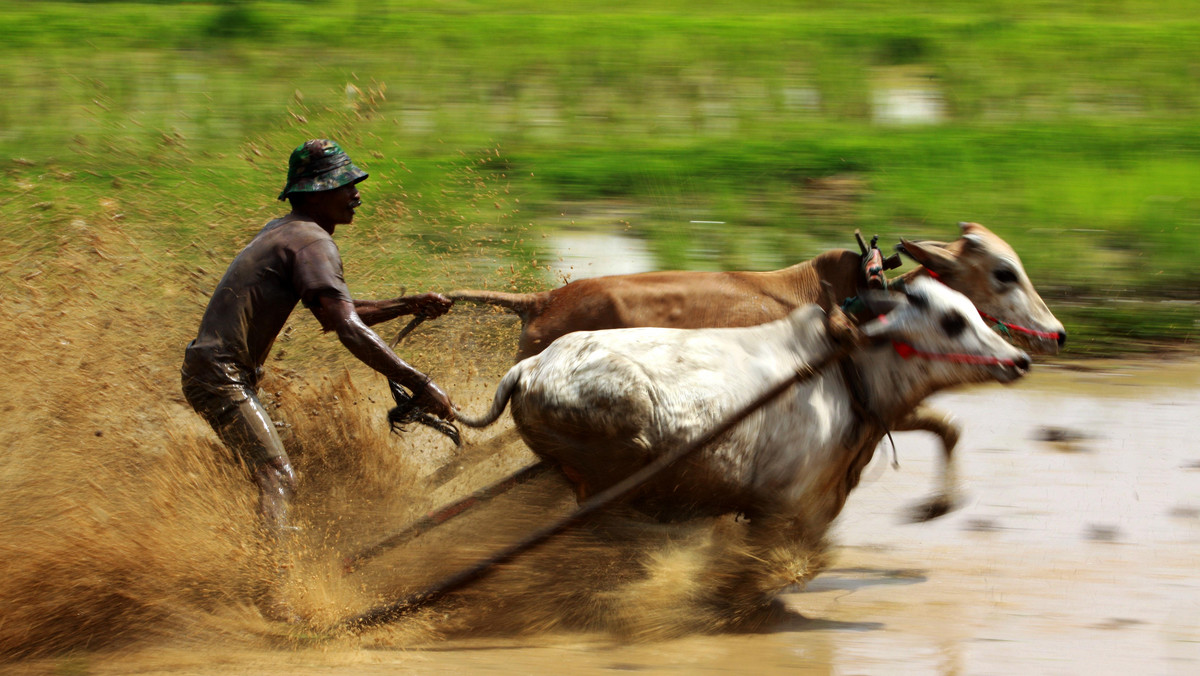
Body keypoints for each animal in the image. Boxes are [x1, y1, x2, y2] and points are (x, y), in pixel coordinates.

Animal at [451, 224, 1070, 521]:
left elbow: (944, 428)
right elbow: (945, 427)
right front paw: (936, 505)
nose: (1057, 332)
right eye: (1004, 272)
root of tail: (539, 300)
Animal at [453, 277, 1027, 605]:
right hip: (624, 450)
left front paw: (936, 506)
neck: (843, 372)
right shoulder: (786, 507)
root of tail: (529, 369)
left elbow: (947, 428)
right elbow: (789, 564)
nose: (1019, 360)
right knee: (609, 521)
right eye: (951, 321)